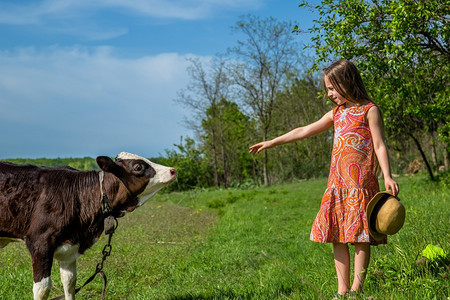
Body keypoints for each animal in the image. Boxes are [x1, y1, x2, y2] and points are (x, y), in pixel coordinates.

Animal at [0, 154, 176, 298]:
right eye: (138, 167)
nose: (173, 170)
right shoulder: (40, 243)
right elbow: (43, 289)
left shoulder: (70, 247)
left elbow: (70, 282)